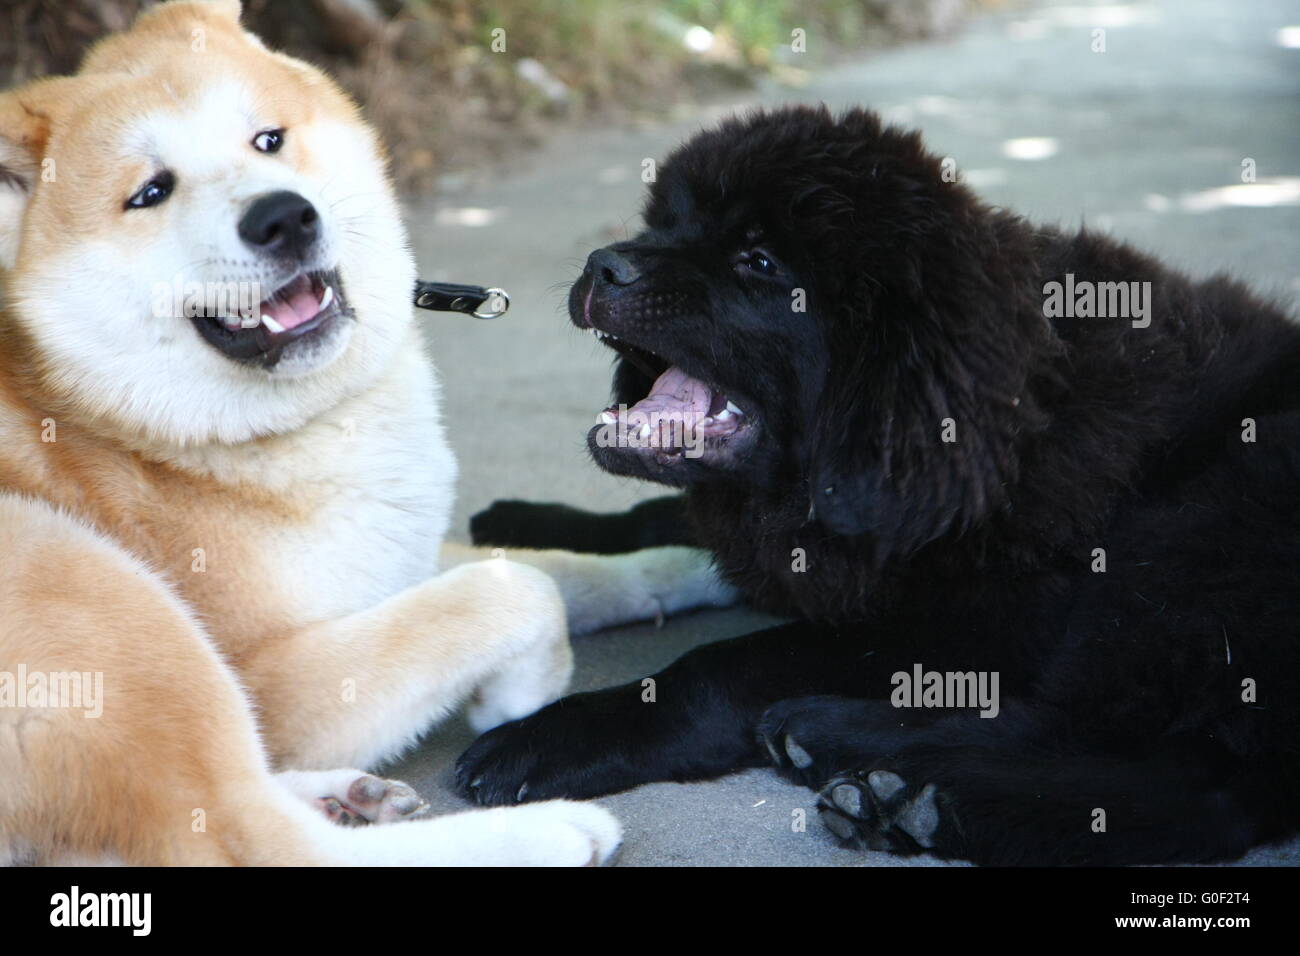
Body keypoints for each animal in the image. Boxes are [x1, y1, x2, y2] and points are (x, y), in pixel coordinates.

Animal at [0, 0, 733, 868]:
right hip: (88, 581)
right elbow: (517, 589)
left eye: (268, 140)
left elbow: (551, 567)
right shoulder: (275, 679)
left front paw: (688, 565)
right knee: (255, 837)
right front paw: (523, 690)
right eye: (150, 193)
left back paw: (347, 796)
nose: (283, 216)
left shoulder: (396, 559)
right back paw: (548, 831)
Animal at [460, 104, 1300, 868]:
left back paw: (876, 769)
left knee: (1172, 772)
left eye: (759, 263)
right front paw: (533, 520)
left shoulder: (1000, 618)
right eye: (666, 224)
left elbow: (730, 664)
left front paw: (553, 736)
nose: (603, 264)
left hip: (1202, 526)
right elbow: (658, 516)